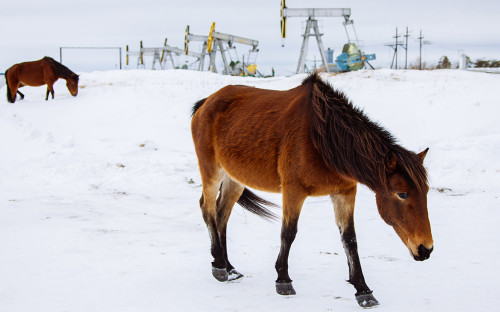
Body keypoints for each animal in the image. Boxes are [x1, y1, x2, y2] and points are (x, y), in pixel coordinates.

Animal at [191, 72, 434, 308]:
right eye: (402, 194)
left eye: (426, 193)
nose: (426, 249)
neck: (322, 141)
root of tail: (206, 102)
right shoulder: (293, 191)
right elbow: (288, 233)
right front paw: (283, 280)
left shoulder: (345, 193)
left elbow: (350, 240)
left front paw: (363, 290)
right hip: (212, 171)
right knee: (207, 209)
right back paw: (219, 267)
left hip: (235, 179)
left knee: (222, 215)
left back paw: (229, 267)